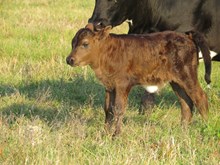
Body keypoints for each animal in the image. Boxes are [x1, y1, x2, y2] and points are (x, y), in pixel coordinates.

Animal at [66, 26, 211, 136]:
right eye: (72, 43)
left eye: (85, 43)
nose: (69, 59)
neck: (108, 53)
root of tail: (187, 36)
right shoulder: (109, 85)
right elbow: (108, 109)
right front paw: (104, 133)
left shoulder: (123, 84)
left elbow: (119, 108)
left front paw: (116, 135)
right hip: (176, 81)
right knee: (186, 103)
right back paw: (182, 130)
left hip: (187, 75)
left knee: (200, 97)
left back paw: (205, 126)